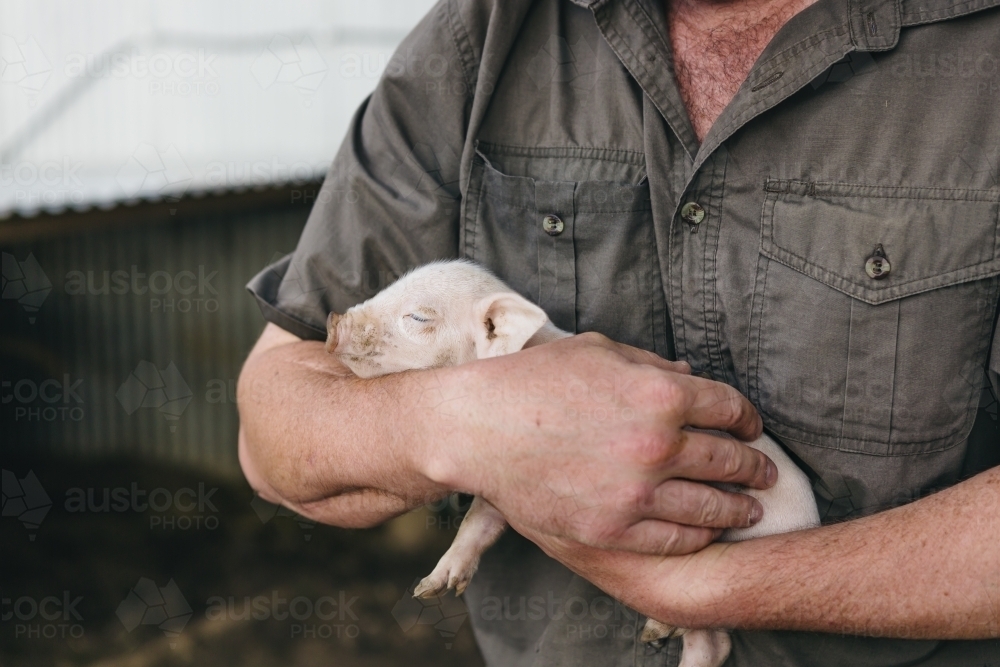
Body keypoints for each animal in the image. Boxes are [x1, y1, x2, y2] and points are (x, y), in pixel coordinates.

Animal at [325, 259, 820, 667]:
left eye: (419, 317)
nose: (333, 322)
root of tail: (810, 523)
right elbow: (476, 526)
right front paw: (431, 587)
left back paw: (658, 630)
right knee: (712, 644)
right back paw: (655, 636)